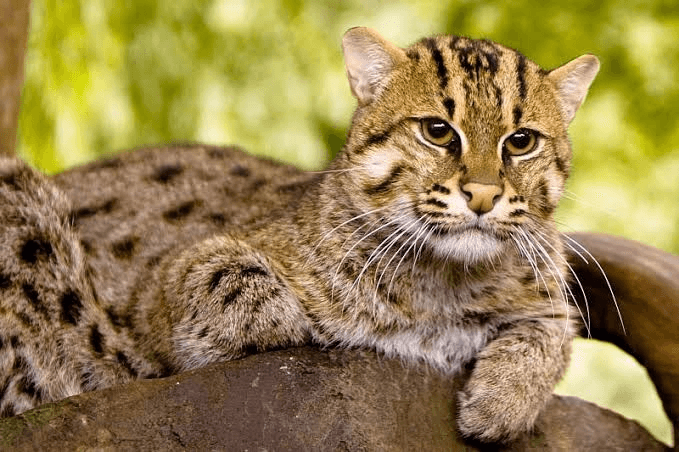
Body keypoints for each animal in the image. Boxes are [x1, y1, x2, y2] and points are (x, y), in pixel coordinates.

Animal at [0, 26, 600, 444]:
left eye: (521, 141)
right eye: (437, 131)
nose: (481, 194)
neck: (442, 284)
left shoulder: (546, 290)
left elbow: (554, 329)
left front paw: (501, 401)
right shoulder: (156, 291)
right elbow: (226, 274)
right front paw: (298, 318)